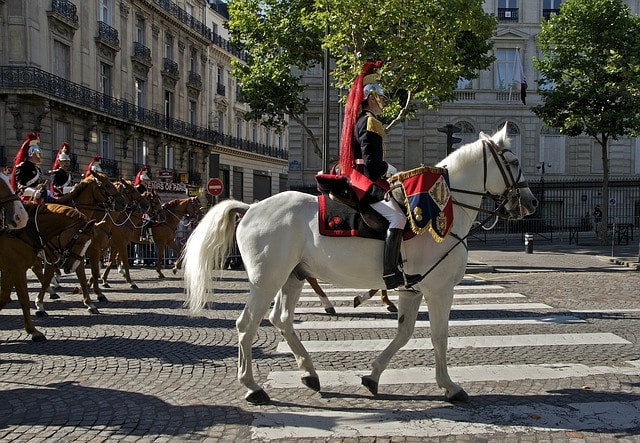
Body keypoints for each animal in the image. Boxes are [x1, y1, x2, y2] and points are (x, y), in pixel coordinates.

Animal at [0, 203, 95, 342]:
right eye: (80, 242)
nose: (70, 268)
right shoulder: (18, 268)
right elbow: (25, 298)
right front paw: (34, 327)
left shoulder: (10, 269)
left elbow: (4, 297)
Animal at [182, 124, 536, 406]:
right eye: (514, 162)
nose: (531, 202)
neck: (442, 207)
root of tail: (251, 207)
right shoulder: (439, 290)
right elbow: (439, 336)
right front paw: (449, 386)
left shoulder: (412, 289)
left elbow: (405, 333)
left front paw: (373, 376)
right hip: (266, 280)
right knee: (247, 325)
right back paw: (253, 387)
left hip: (293, 276)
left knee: (280, 319)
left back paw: (309, 373)